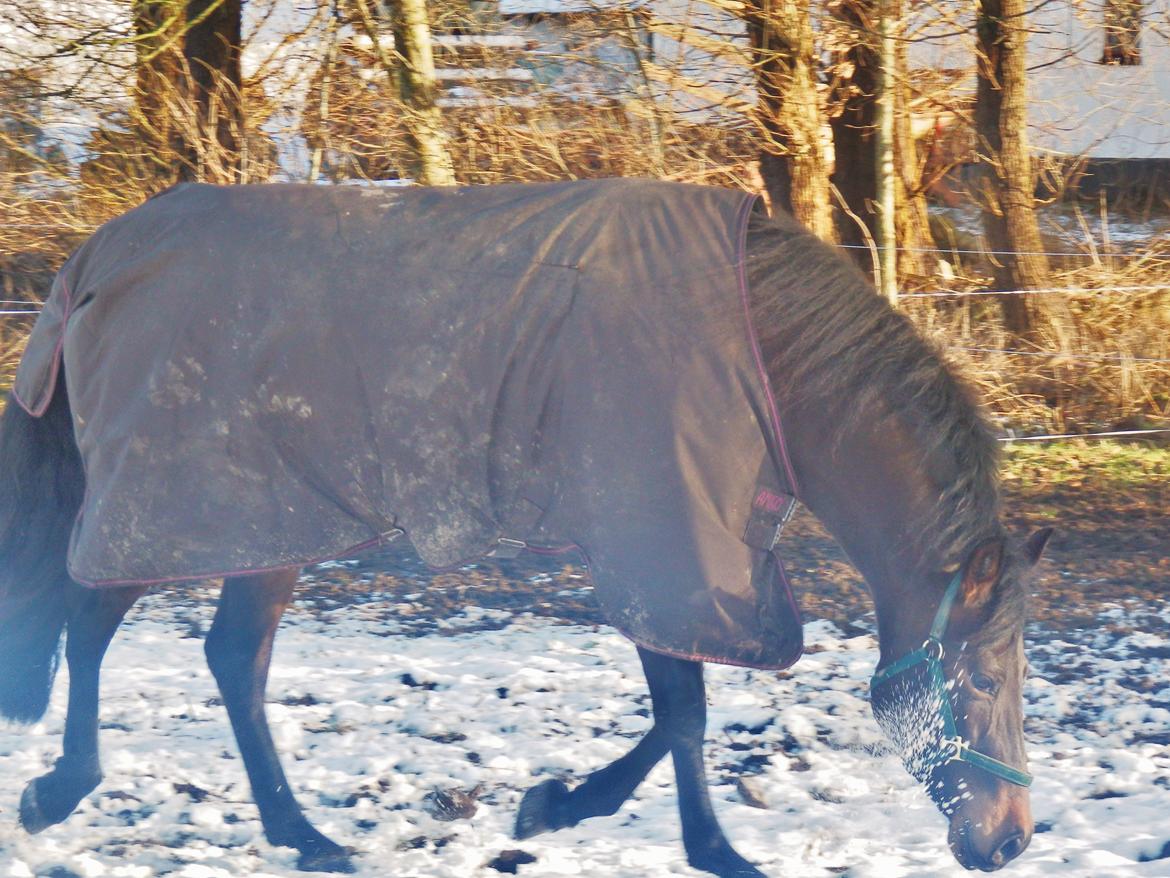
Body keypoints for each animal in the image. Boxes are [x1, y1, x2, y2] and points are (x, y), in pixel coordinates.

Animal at [0, 176, 1053, 875]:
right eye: (986, 677)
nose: (1009, 840)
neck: (762, 358)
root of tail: (94, 261)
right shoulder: (657, 543)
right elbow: (684, 711)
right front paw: (684, 841)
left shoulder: (678, 558)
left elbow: (677, 712)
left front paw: (559, 809)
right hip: (198, 511)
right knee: (109, 626)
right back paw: (82, 794)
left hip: (257, 528)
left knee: (201, 651)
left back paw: (282, 831)